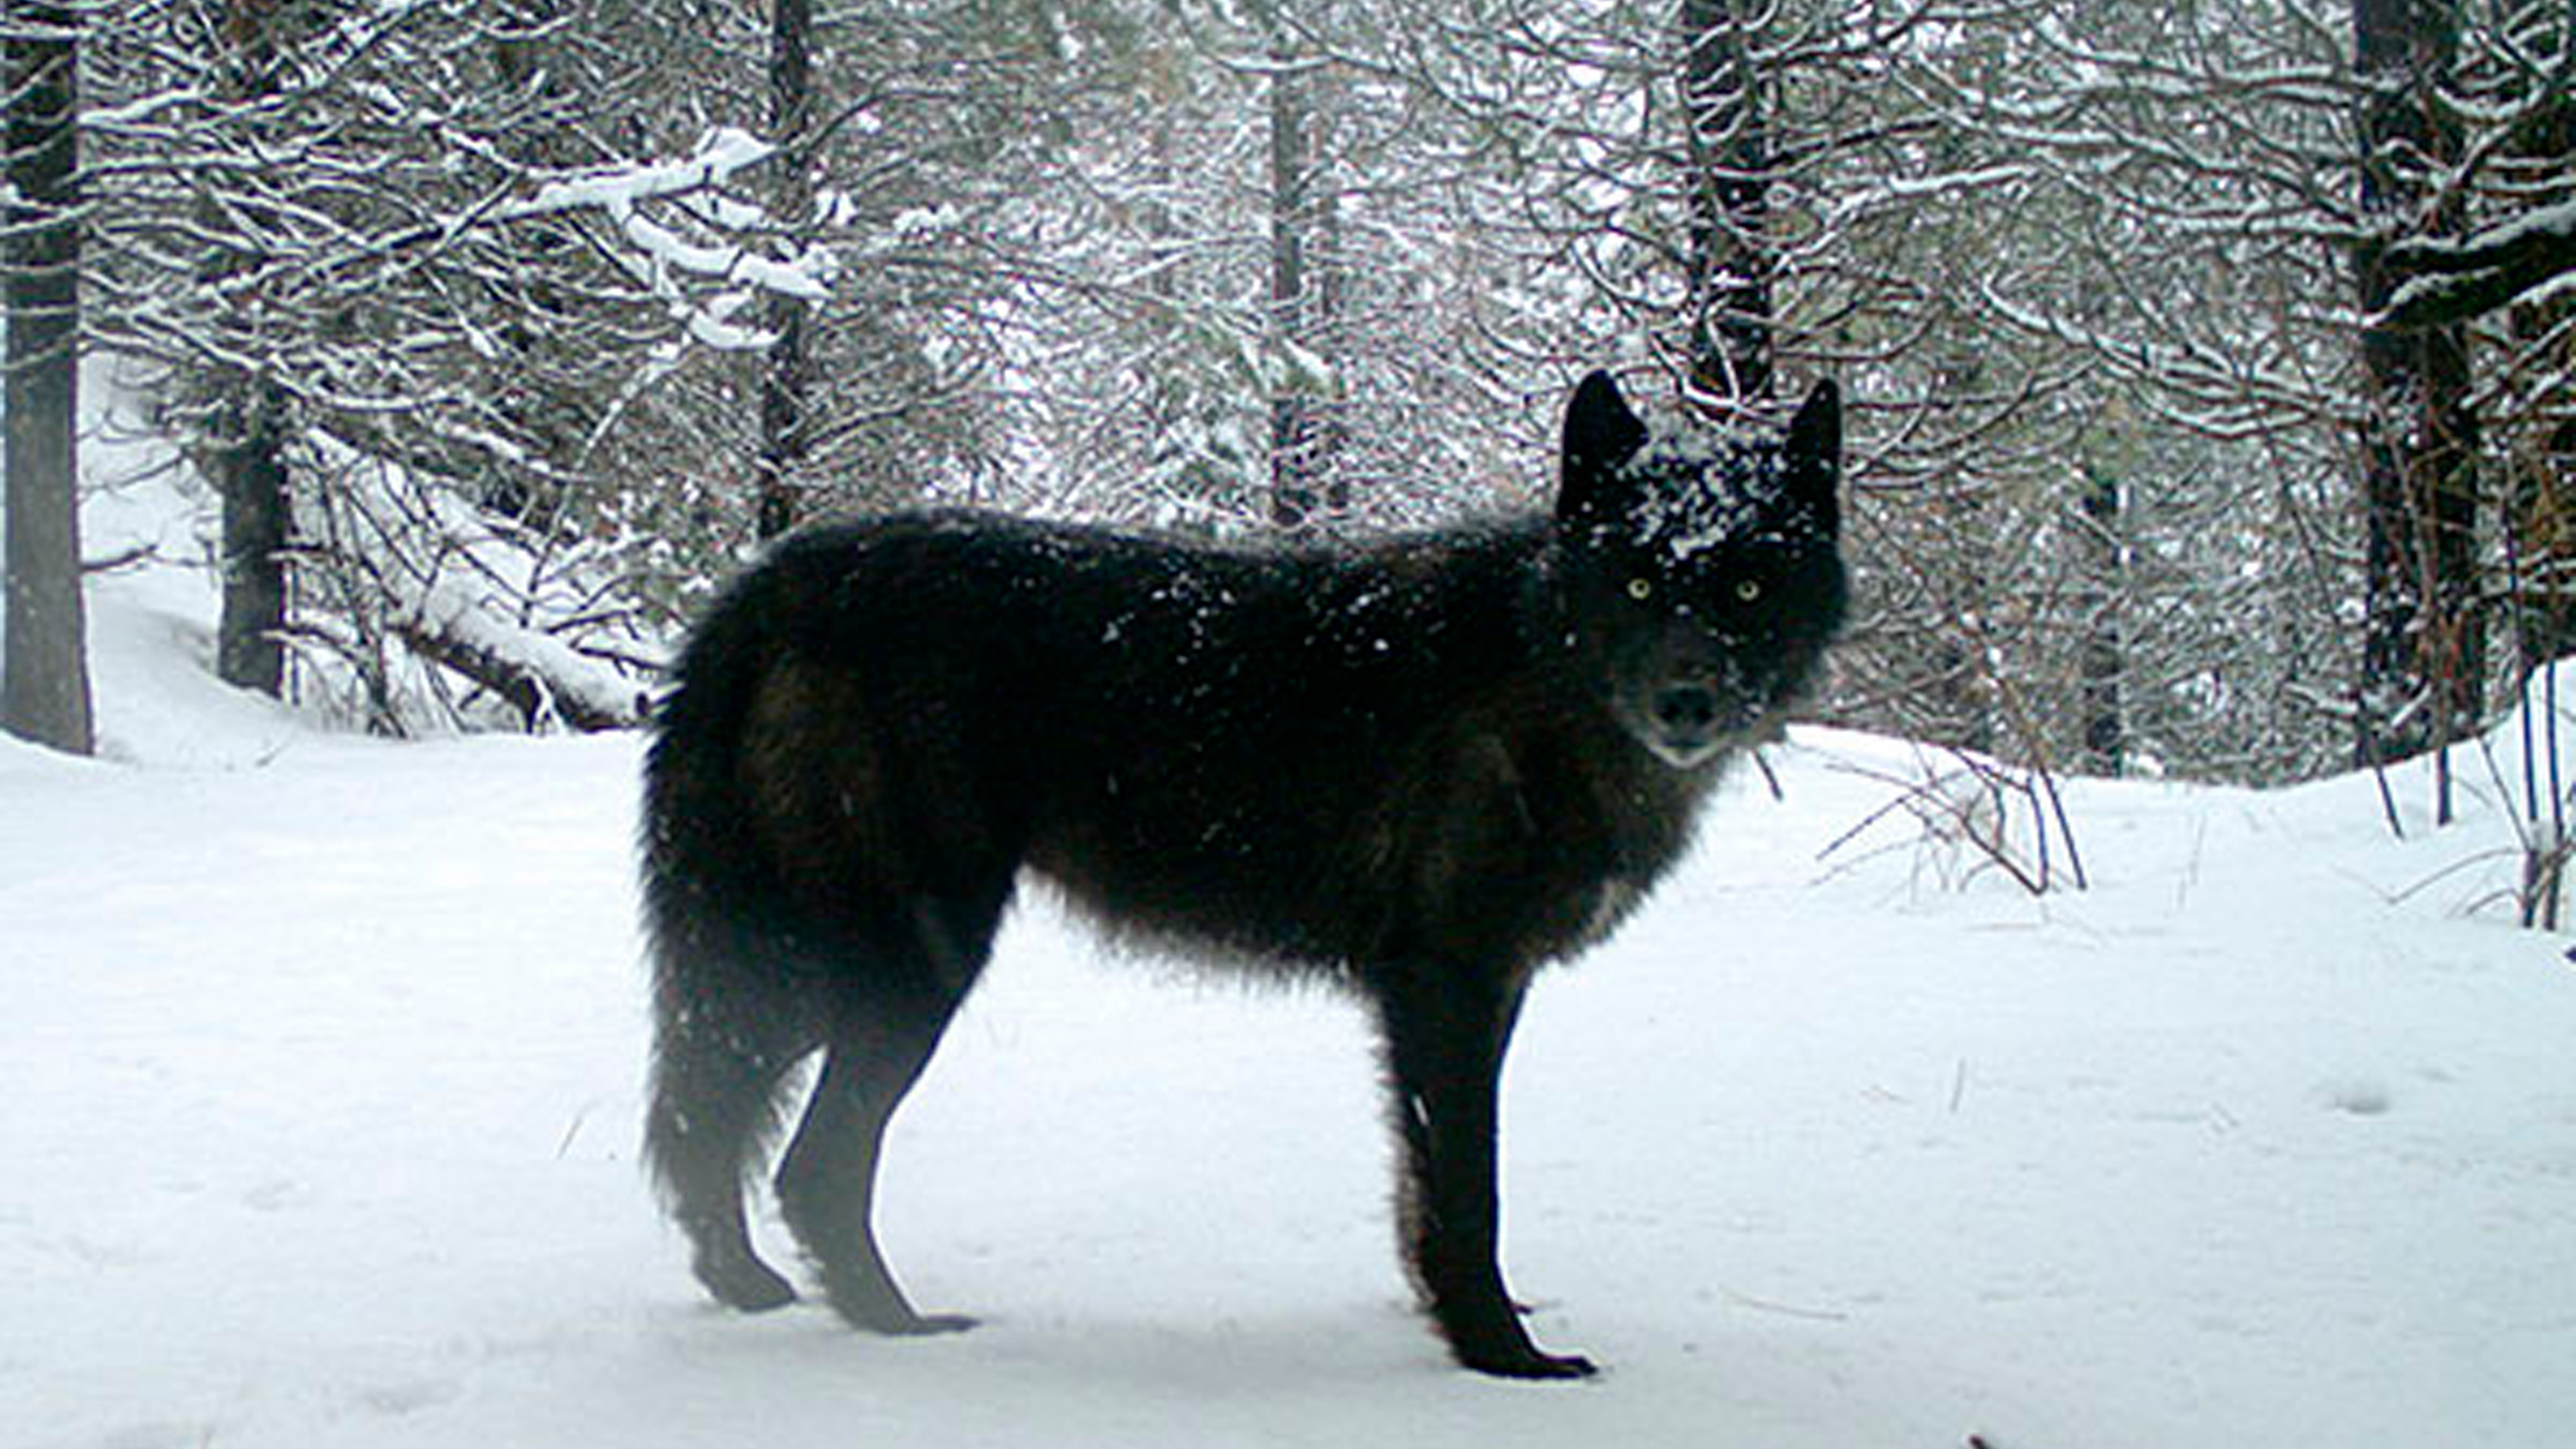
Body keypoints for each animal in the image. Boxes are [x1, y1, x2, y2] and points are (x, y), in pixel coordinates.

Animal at [639, 370, 1846, 1379]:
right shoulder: (1447, 986)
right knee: (805, 1158)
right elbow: (1470, 1189)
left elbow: (1423, 1191)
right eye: (1638, 578)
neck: (1544, 668)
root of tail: (773, 580)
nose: (1687, 700)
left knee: (707, 1111)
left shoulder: (1471, 993)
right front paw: (1502, 1358)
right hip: (903, 966)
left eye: (1747, 584)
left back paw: (750, 1287)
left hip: (813, 966)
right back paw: (894, 1325)